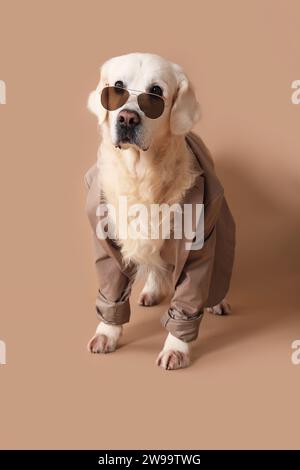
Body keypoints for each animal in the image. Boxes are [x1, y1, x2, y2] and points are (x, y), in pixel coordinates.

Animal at [84, 50, 234, 368]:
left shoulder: (198, 245)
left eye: (155, 92)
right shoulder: (108, 242)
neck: (141, 174)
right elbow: (112, 288)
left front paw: (176, 347)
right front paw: (107, 332)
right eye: (118, 87)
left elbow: (190, 294)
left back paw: (217, 301)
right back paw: (151, 291)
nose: (127, 118)